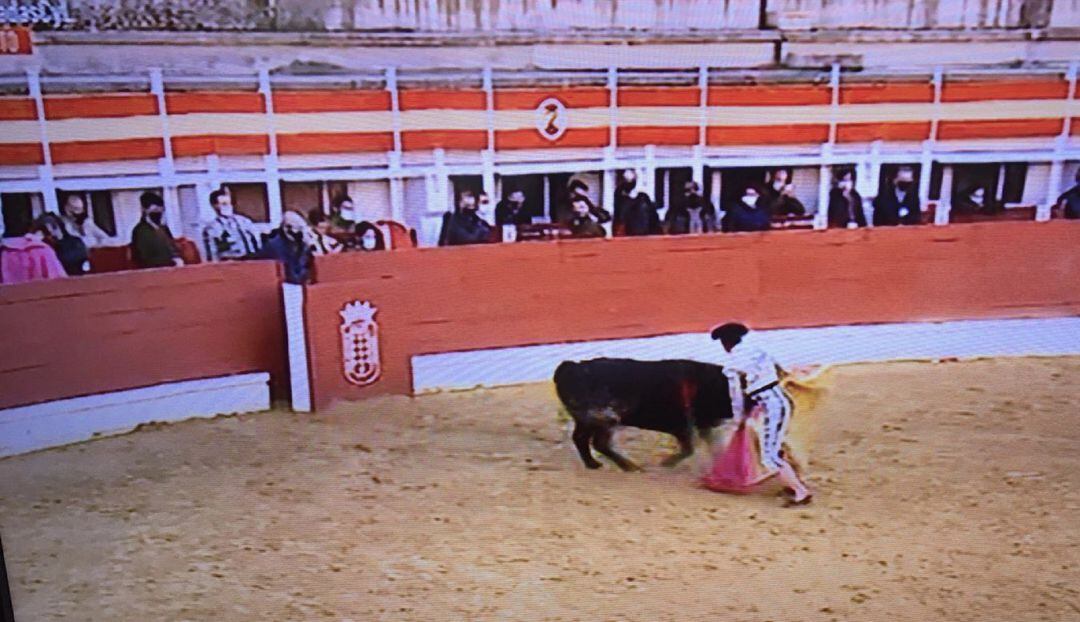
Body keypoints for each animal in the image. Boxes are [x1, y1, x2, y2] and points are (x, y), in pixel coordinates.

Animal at [557, 358, 734, 470]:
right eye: (720, 392)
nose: (727, 416)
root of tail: (571, 368)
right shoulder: (681, 426)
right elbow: (689, 448)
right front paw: (667, 463)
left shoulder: (697, 425)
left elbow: (711, 444)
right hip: (605, 418)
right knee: (599, 443)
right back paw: (628, 466)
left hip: (590, 421)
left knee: (581, 438)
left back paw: (593, 464)